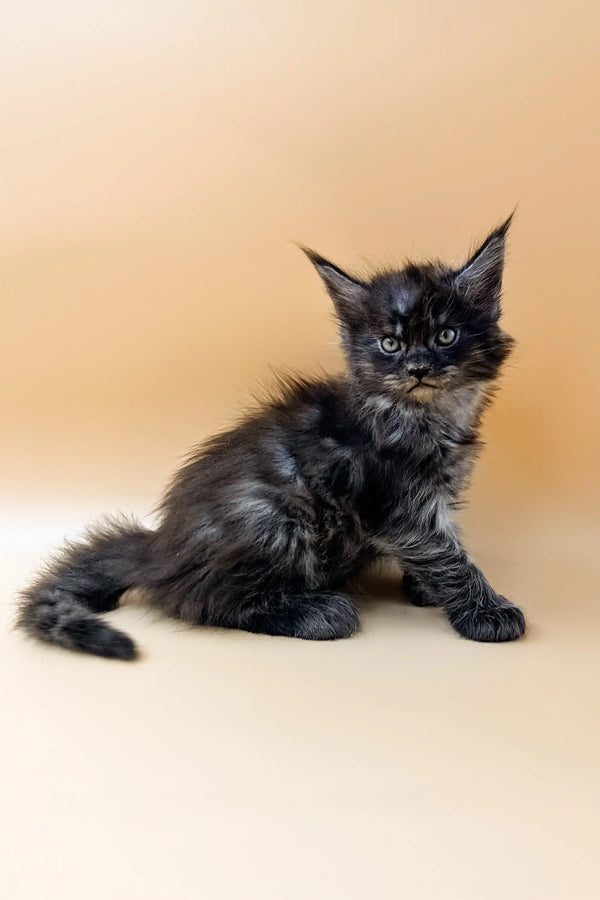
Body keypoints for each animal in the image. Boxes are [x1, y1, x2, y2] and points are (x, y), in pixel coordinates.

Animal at [16, 214, 524, 656]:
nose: (418, 368)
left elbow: (439, 548)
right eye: (390, 344)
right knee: (206, 600)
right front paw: (485, 611)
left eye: (445, 336)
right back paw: (319, 611)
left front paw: (424, 589)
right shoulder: (399, 502)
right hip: (278, 519)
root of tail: (158, 547)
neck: (425, 415)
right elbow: (447, 556)